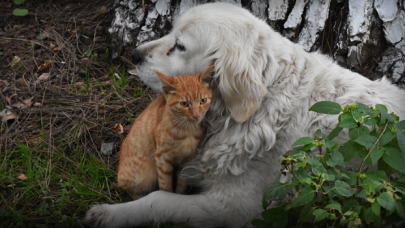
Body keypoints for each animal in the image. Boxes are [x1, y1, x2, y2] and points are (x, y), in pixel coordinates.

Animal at [117, 65, 215, 199]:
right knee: (132, 191)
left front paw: (178, 196)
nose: (196, 116)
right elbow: (165, 185)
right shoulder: (162, 158)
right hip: (143, 175)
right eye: (184, 104)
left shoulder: (186, 160)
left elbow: (181, 183)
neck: (188, 130)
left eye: (203, 101)